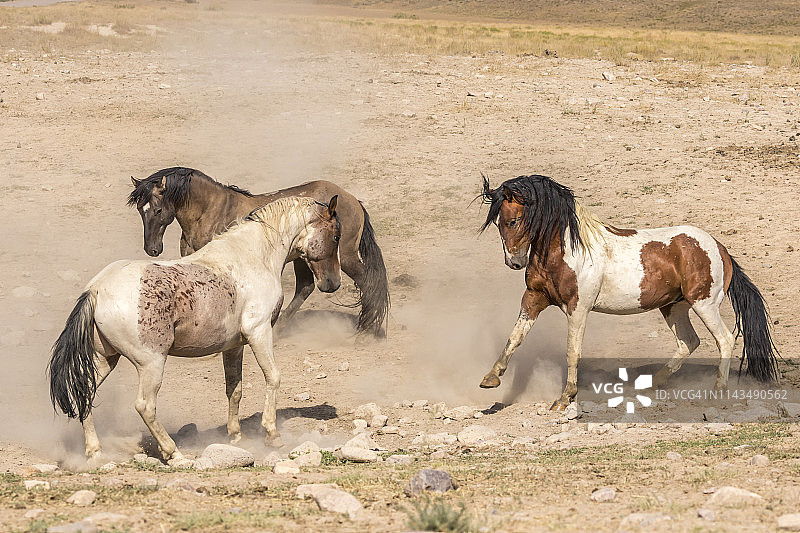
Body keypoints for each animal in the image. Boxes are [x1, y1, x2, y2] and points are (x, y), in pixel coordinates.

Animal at [48, 195, 340, 462]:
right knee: (145, 406)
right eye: (336, 236)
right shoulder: (259, 332)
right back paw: (173, 452)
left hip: (105, 359)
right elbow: (273, 377)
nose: (332, 283)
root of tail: (96, 288)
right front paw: (272, 435)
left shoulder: (234, 346)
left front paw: (236, 436)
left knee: (85, 393)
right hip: (151, 363)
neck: (254, 256)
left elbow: (234, 389)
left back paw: (95, 451)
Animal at [129, 166, 390, 334]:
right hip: (304, 259)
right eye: (141, 210)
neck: (211, 211)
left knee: (368, 281)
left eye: (158, 210)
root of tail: (352, 199)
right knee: (305, 287)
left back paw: (368, 326)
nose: (152, 249)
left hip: (343, 257)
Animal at [478, 174, 780, 408]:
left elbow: (572, 351)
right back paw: (654, 383)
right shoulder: (534, 298)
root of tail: (719, 247)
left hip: (703, 303)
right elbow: (515, 337)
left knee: (725, 340)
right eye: (497, 223)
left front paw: (564, 398)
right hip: (674, 306)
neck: (566, 250)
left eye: (513, 221)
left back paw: (717, 392)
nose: (514, 262)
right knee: (688, 342)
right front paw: (491, 378)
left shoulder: (578, 307)